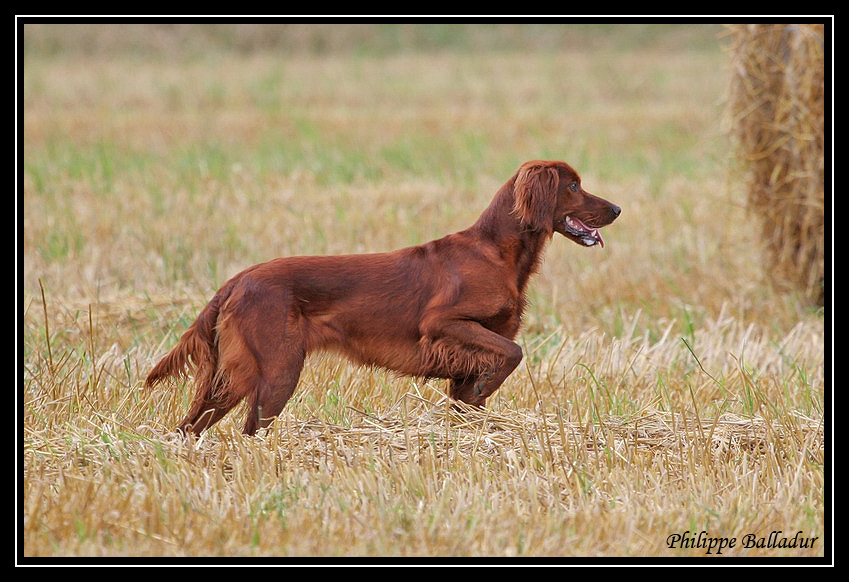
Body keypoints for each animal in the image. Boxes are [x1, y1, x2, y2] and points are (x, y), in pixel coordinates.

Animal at [146, 162, 620, 436]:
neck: (497, 251)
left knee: (192, 425)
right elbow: (512, 351)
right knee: (249, 430)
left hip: (235, 375)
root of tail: (237, 281)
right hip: (278, 370)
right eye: (574, 186)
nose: (616, 209)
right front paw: (490, 381)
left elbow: (476, 393)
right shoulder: (442, 324)